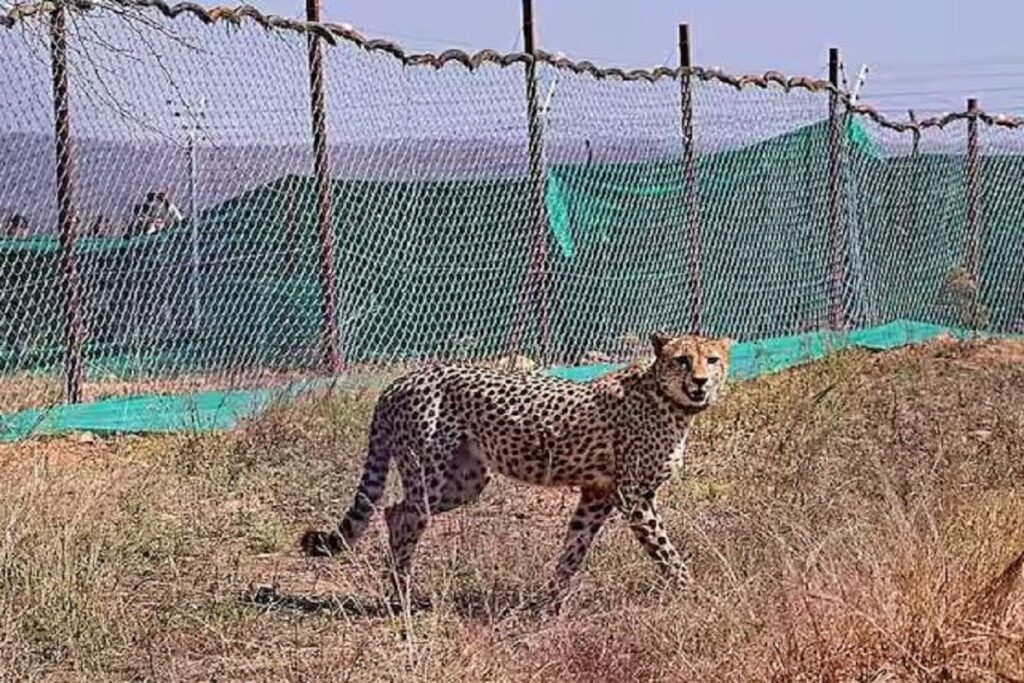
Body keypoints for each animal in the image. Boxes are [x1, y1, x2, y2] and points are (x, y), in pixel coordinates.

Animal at [299, 333, 733, 602]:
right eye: (682, 360)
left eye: (712, 360)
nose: (700, 381)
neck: (669, 399)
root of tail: (402, 379)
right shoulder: (634, 497)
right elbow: (665, 551)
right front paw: (694, 593)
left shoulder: (598, 493)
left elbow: (574, 548)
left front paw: (552, 601)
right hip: (430, 473)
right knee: (405, 516)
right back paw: (403, 594)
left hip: (466, 481)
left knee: (393, 511)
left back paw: (399, 587)